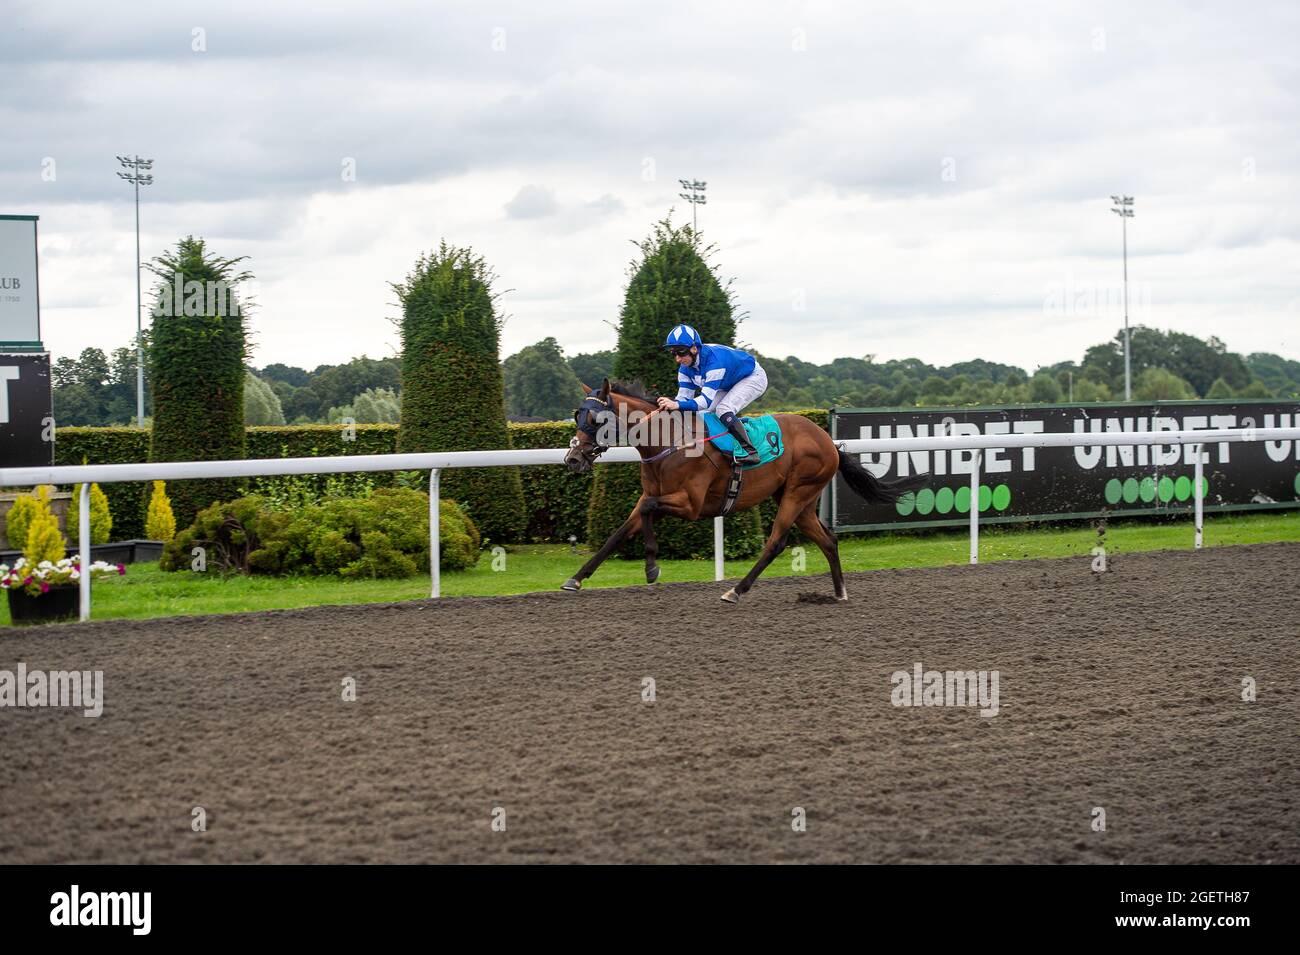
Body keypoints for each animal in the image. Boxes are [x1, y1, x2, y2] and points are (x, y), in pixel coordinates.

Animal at [561, 376, 925, 600]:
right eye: (577, 414)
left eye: (595, 419)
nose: (573, 458)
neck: (668, 442)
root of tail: (828, 441)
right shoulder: (651, 497)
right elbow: (618, 534)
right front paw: (575, 578)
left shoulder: (690, 504)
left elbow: (650, 514)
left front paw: (652, 566)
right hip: (801, 500)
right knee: (828, 540)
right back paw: (839, 593)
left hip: (797, 493)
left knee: (776, 543)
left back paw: (736, 590)